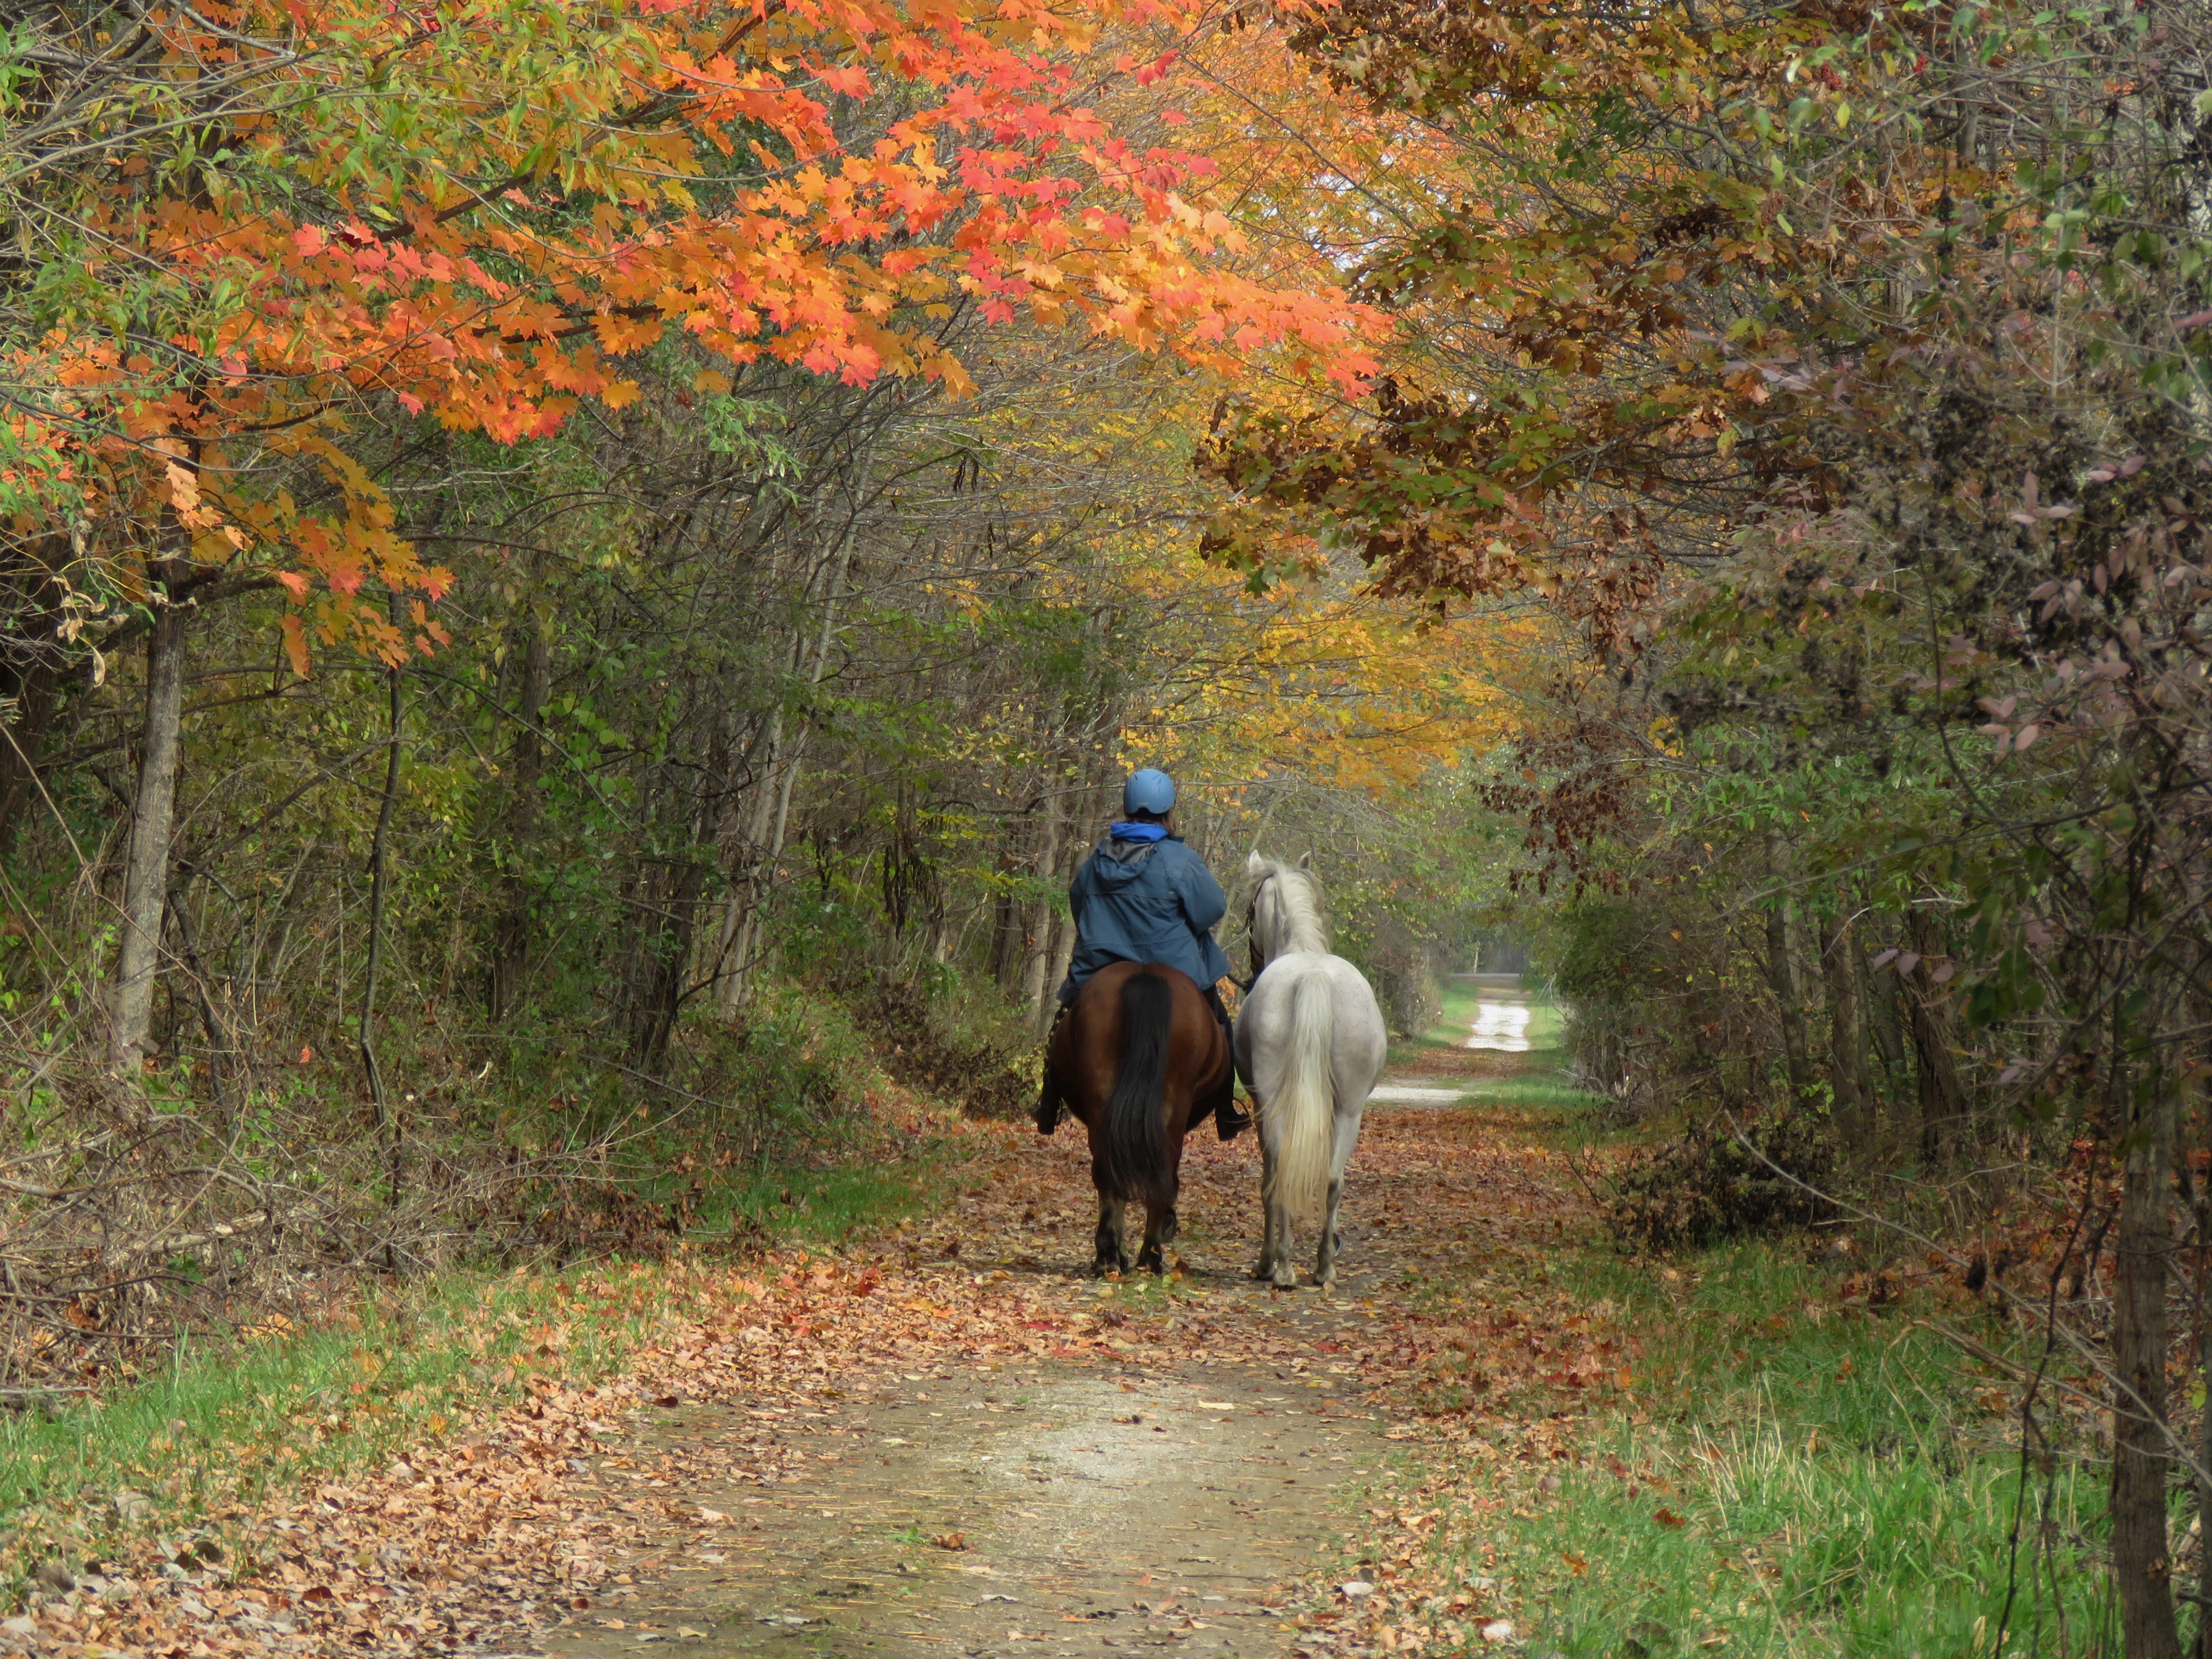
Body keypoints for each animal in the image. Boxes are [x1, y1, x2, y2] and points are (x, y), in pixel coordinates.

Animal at [1045, 960, 1235, 1275]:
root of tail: (1145, 973)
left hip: (1103, 1095)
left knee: (1109, 1173)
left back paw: (1110, 1257)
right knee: (1164, 1176)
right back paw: (1150, 1256)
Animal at [1235, 853, 1388, 1289]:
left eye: (1250, 913)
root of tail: (1314, 975)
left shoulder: (1259, 1110)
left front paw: (1266, 1262)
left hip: (1274, 1105)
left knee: (1280, 1171)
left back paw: (1282, 1267)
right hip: (1350, 1110)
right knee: (1334, 1180)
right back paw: (1323, 1267)